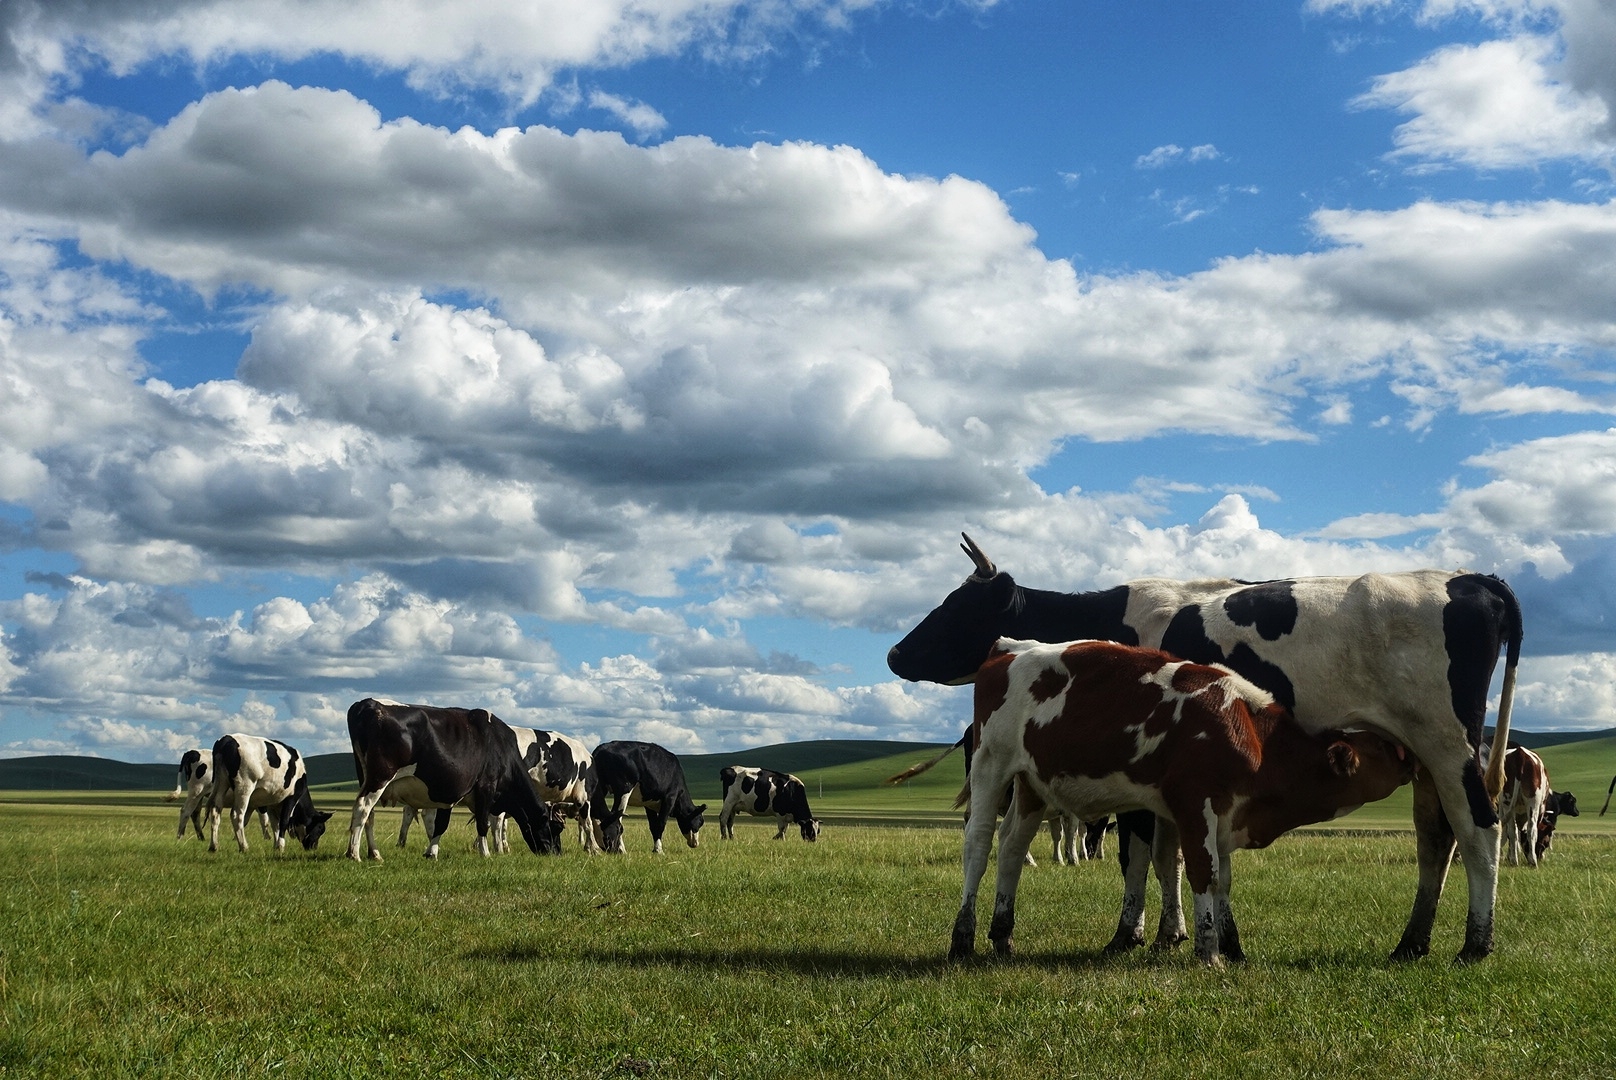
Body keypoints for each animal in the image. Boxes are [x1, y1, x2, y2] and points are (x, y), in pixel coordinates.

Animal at [342, 701, 562, 860]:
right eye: (555, 828)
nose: (556, 853)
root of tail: (367, 703)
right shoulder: (486, 786)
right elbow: (482, 823)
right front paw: (486, 854)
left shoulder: (451, 792)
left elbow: (442, 824)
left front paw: (431, 852)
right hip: (380, 776)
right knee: (363, 808)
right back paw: (354, 854)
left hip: (366, 776)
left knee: (369, 814)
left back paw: (374, 853)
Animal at [950, 637, 1422, 963]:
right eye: (1383, 748)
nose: (1411, 756)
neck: (1249, 733)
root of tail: (1011, 648)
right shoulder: (1196, 803)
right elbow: (1203, 872)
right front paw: (1208, 951)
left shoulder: (1226, 811)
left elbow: (1222, 878)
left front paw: (1233, 947)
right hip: (991, 764)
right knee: (978, 845)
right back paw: (963, 937)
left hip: (1031, 783)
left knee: (1012, 848)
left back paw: (1003, 933)